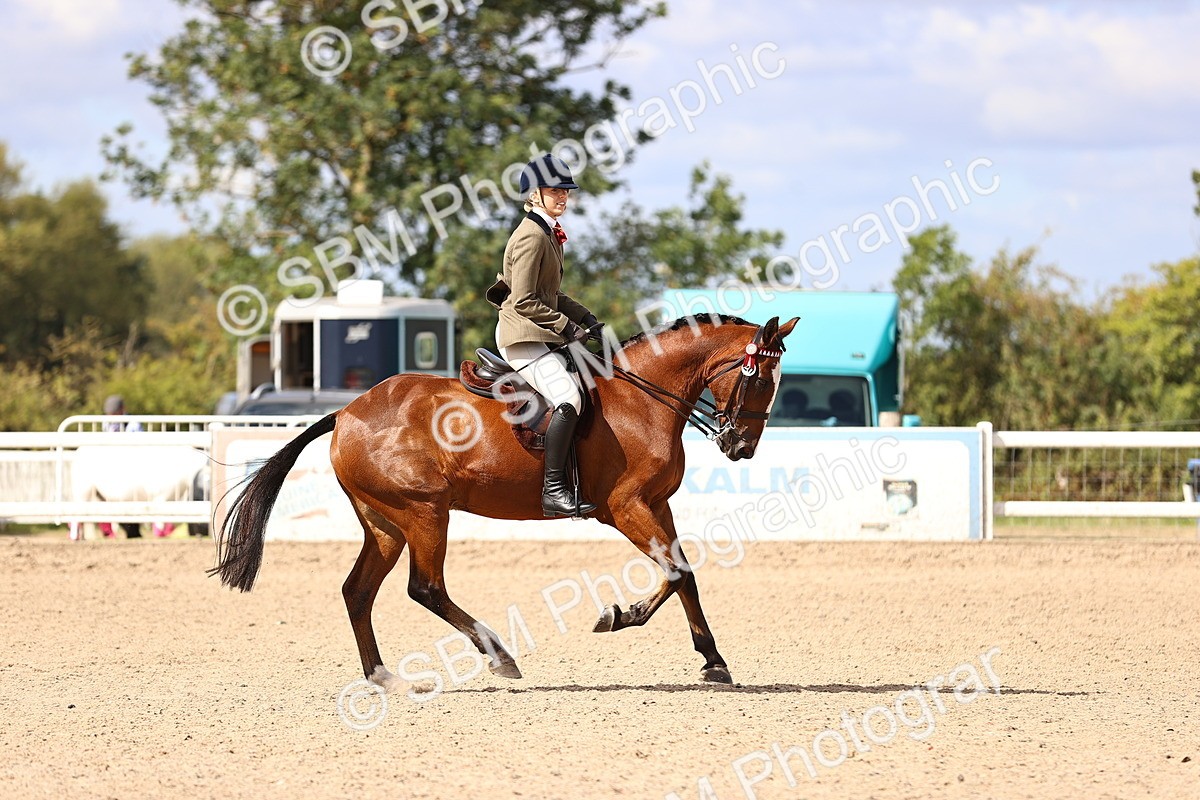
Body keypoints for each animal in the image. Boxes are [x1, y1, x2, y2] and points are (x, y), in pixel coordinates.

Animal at [212, 313, 799, 687]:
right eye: (757, 377)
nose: (742, 447)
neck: (643, 398)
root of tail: (348, 411)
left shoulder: (658, 506)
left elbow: (683, 574)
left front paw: (703, 656)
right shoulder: (625, 509)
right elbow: (678, 572)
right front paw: (632, 622)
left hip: (385, 523)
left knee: (358, 592)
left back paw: (383, 676)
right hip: (424, 512)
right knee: (425, 588)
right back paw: (499, 655)